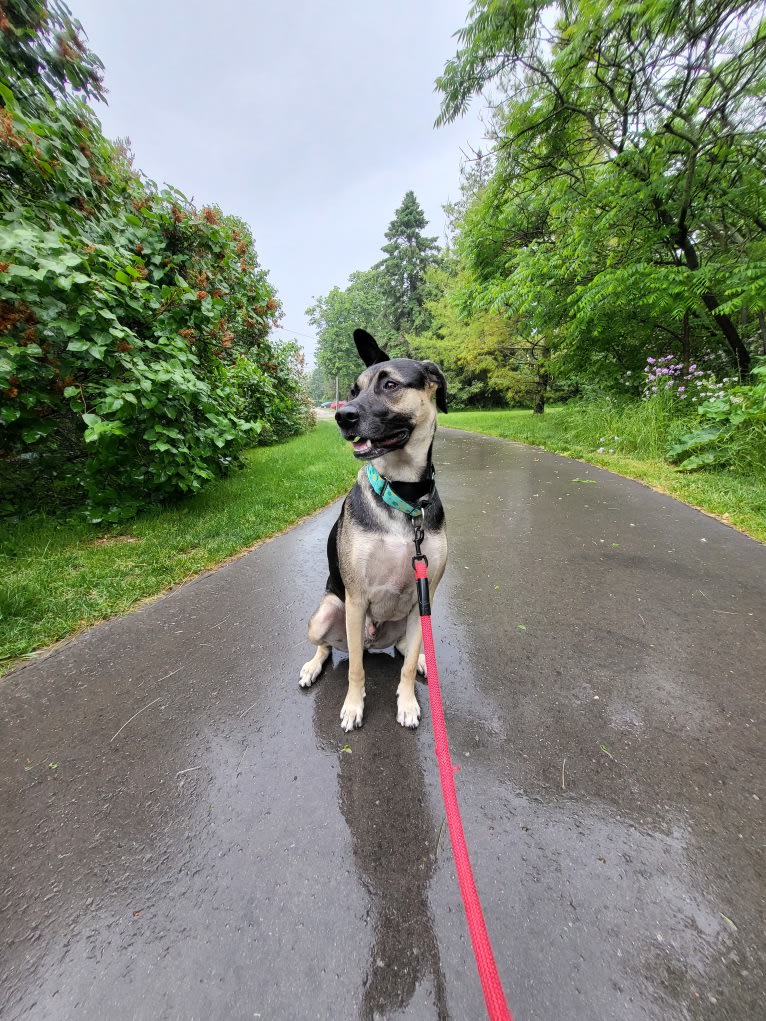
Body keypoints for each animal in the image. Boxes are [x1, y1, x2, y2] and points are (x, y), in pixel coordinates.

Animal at [300, 330, 449, 731]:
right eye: (354, 390)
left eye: (390, 385)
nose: (342, 416)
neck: (404, 497)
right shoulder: (356, 600)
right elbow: (356, 671)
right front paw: (353, 706)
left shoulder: (424, 595)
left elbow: (407, 665)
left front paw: (408, 702)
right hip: (325, 615)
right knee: (329, 647)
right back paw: (312, 667)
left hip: (409, 619)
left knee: (404, 649)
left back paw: (424, 662)